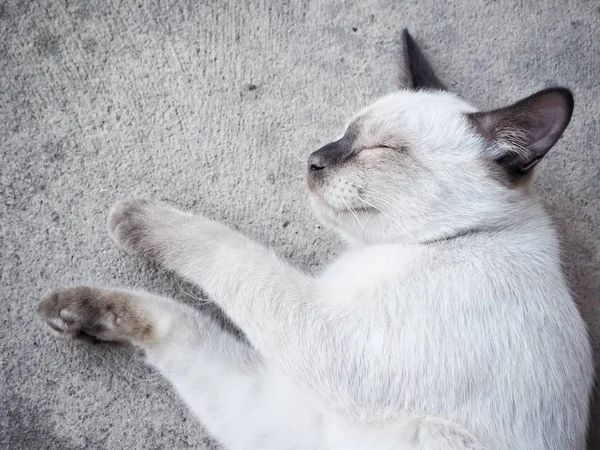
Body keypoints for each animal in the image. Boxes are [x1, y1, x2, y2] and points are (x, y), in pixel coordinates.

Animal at [38, 29, 596, 448]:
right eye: (345, 133)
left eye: (380, 150)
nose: (315, 159)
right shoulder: (275, 413)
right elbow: (174, 322)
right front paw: (71, 311)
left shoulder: (321, 333)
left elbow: (220, 248)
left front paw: (130, 217)